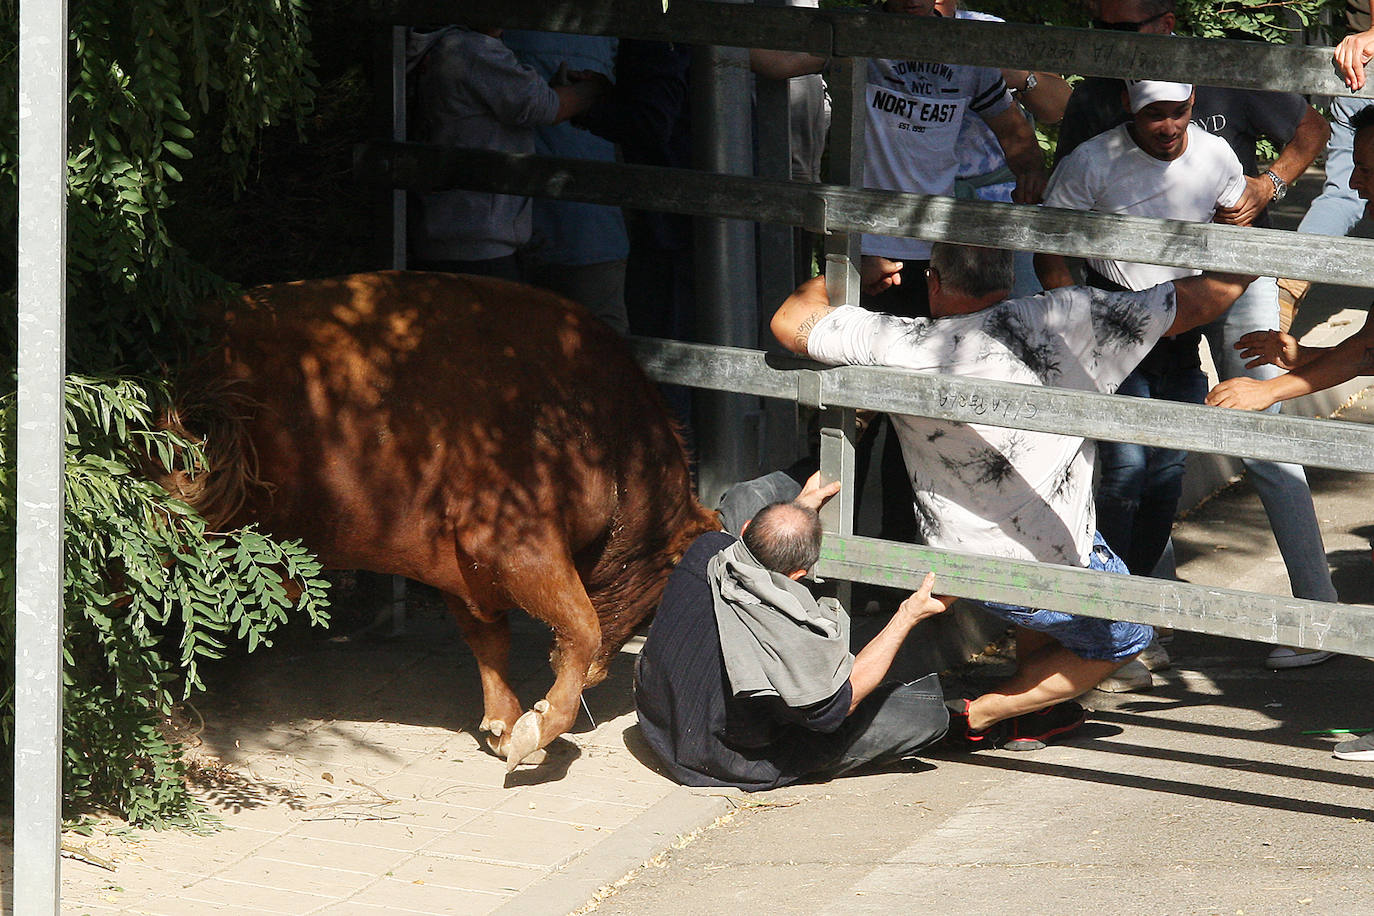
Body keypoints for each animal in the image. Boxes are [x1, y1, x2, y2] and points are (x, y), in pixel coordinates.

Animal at [160, 270, 719, 769]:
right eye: (663, 587)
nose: (601, 678)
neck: (603, 426)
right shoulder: (518, 543)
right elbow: (580, 627)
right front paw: (535, 729)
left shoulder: (464, 564)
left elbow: (490, 641)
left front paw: (502, 724)